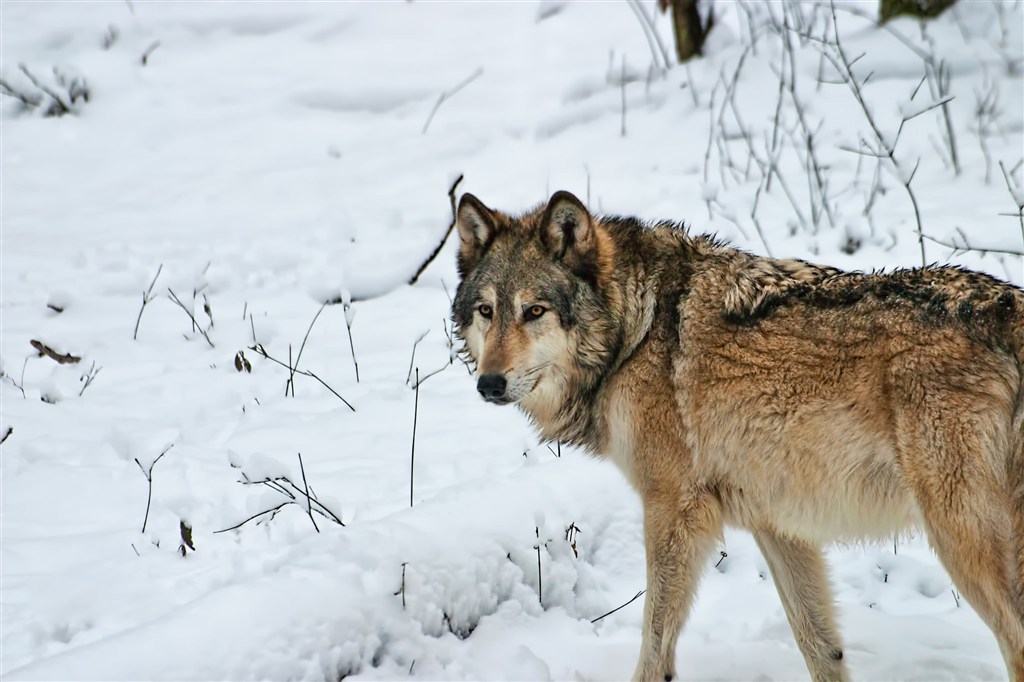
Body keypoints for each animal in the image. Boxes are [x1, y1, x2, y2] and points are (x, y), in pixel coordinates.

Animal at [452, 187, 1024, 679]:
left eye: (535, 311)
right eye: (487, 311)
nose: (488, 384)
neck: (635, 333)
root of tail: (1010, 313)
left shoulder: (674, 510)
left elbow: (654, 646)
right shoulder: (779, 525)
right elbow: (820, 648)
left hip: (960, 538)